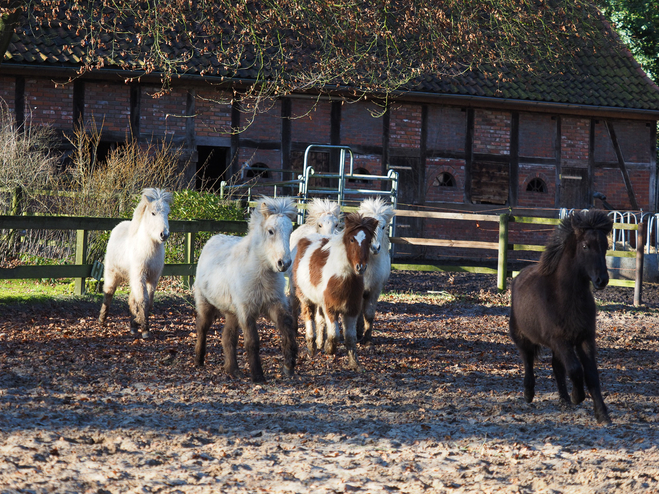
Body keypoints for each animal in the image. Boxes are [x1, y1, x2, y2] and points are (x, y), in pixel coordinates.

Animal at [99, 187, 173, 338]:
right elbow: (143, 301)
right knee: (108, 293)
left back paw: (133, 326)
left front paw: (139, 323)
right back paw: (102, 320)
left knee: (132, 299)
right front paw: (145, 329)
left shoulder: (152, 278)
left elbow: (148, 301)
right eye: (153, 213)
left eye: (168, 213)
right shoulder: (139, 276)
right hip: (112, 273)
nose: (164, 234)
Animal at [193, 196, 300, 382]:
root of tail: (211, 240)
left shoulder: (274, 304)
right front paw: (258, 376)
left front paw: (289, 366)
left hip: (231, 313)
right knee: (202, 328)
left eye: (290, 231)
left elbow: (287, 331)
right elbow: (252, 342)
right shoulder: (246, 310)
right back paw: (199, 360)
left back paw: (233, 370)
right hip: (206, 304)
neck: (260, 273)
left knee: (227, 338)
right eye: (270, 231)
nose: (284, 263)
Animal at [292, 212, 378, 370]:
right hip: (305, 298)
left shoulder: (352, 310)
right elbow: (334, 335)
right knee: (309, 317)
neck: (342, 278)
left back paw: (319, 343)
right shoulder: (330, 308)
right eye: (351, 239)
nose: (360, 267)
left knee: (319, 320)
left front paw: (355, 363)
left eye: (369, 241)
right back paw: (312, 346)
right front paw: (329, 348)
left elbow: (350, 338)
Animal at [510, 209, 612, 424]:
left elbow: (591, 374)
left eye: (606, 247)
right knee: (528, 360)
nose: (602, 280)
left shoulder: (584, 338)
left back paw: (564, 400)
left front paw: (602, 414)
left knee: (557, 367)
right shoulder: (560, 339)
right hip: (522, 336)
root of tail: (519, 275)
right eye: (585, 246)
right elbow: (575, 369)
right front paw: (577, 397)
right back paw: (529, 393)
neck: (564, 297)